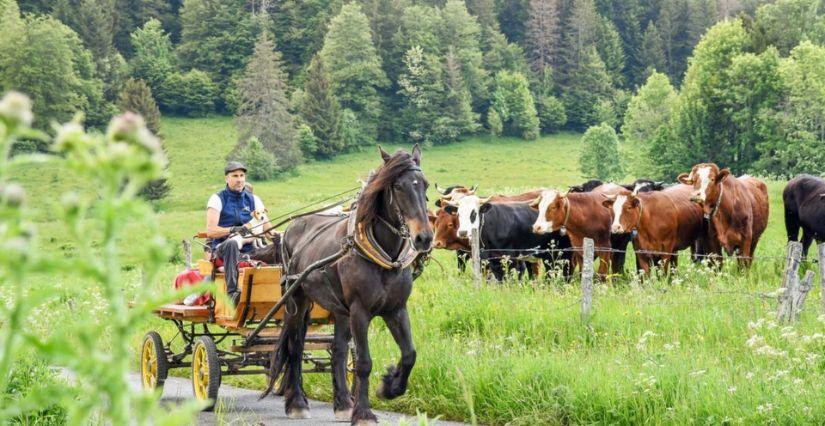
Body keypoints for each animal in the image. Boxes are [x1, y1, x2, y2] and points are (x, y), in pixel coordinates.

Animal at [262, 145, 432, 424]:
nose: (424, 238)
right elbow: (363, 363)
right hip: (296, 300)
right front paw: (364, 413)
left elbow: (410, 354)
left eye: (425, 185)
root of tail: (289, 229)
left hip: (340, 310)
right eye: (398, 186)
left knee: (338, 350)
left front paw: (389, 386)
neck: (383, 254)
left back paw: (342, 402)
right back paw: (296, 402)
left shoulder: (396, 310)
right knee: (295, 348)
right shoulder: (360, 311)